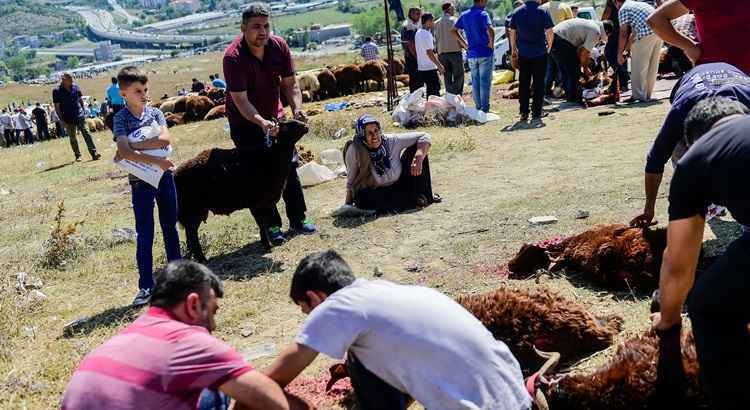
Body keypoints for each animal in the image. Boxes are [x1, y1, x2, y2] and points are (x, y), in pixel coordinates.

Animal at [175, 118, 310, 262]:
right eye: (286, 126)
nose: (306, 126)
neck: (270, 157)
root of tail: (175, 174)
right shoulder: (256, 202)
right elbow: (261, 223)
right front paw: (267, 246)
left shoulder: (264, 202)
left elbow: (264, 222)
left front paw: (267, 244)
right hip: (192, 209)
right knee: (192, 235)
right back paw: (201, 259)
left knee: (190, 235)